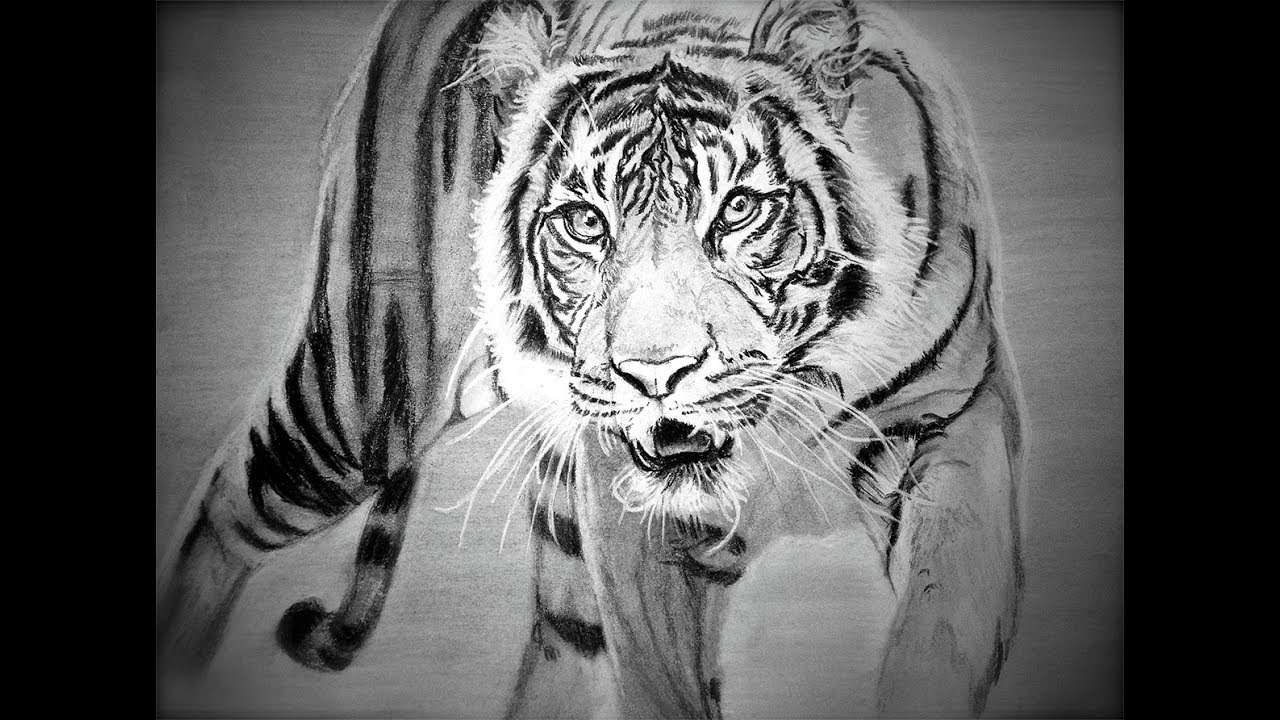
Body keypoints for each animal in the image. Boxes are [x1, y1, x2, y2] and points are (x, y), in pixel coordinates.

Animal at [156, 1, 1026, 717]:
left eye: (739, 209)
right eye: (585, 223)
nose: (656, 376)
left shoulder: (955, 424)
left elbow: (944, 623)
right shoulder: (630, 515)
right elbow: (660, 685)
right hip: (364, 393)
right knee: (228, 507)